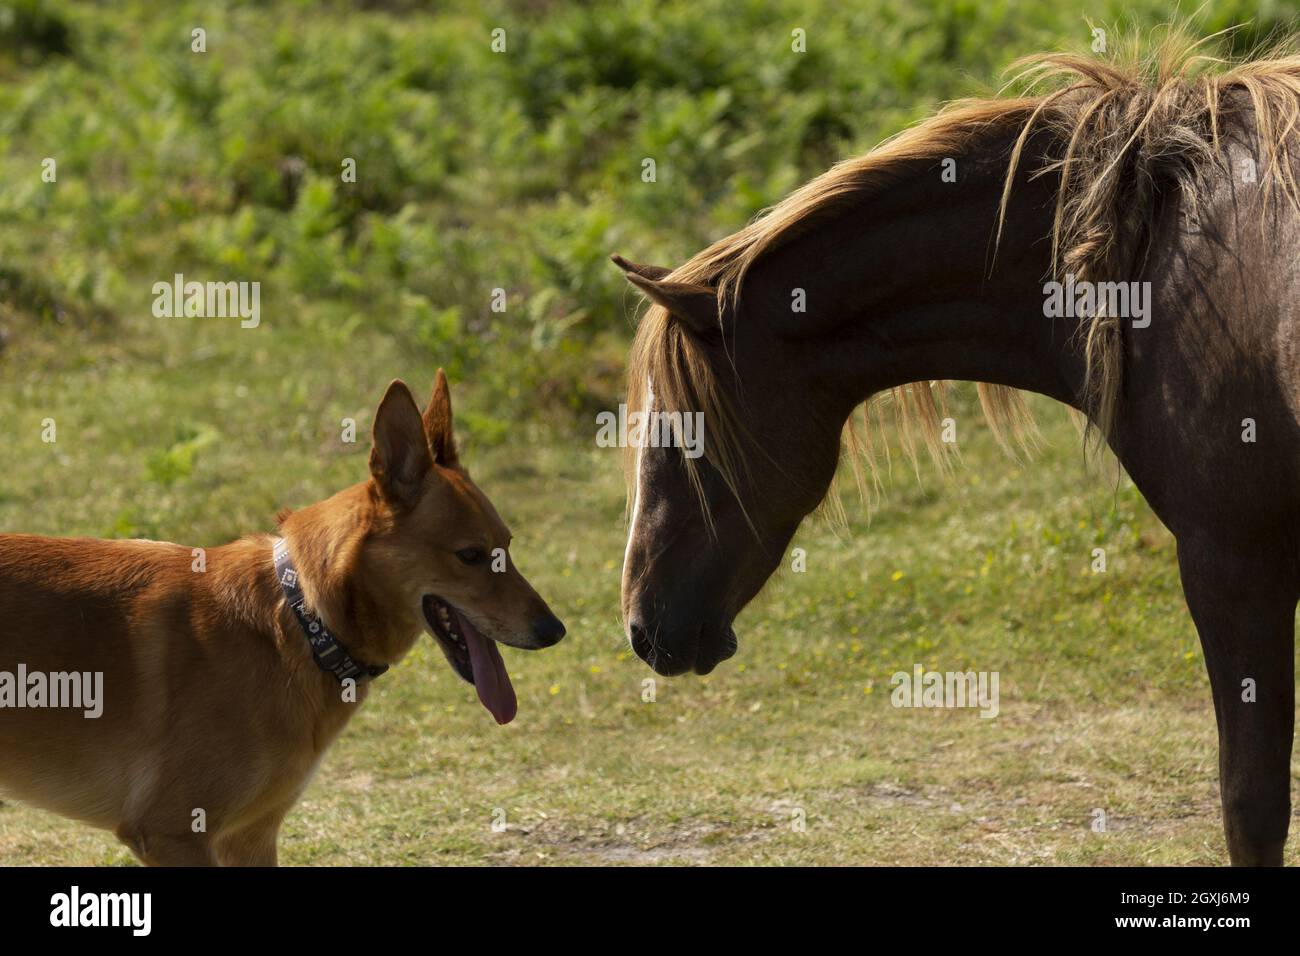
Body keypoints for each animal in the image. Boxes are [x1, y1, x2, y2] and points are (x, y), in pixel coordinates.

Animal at [0, 374, 561, 868]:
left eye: (507, 546)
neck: (303, 620)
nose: (555, 631)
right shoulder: (173, 835)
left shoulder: (250, 837)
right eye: (471, 556)